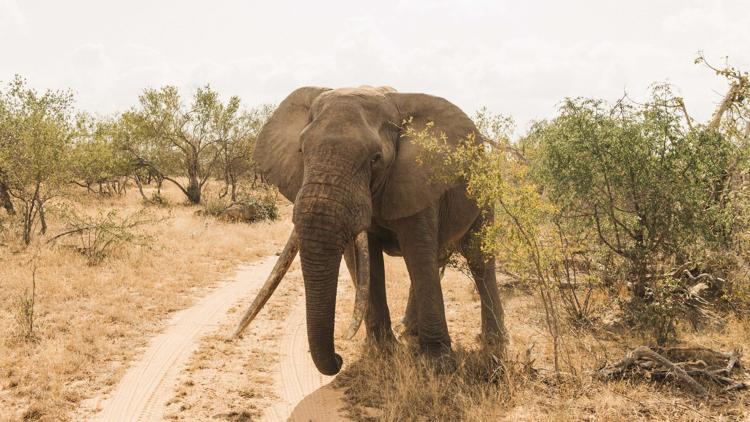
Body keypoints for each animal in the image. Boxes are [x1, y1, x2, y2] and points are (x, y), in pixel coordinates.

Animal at [232, 85, 508, 376]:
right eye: (301, 150)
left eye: (376, 159)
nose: (339, 358)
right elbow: (367, 263)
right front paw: (383, 353)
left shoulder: (417, 180)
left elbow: (418, 255)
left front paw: (439, 367)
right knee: (437, 261)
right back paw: (408, 331)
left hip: (485, 188)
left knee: (477, 259)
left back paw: (494, 342)